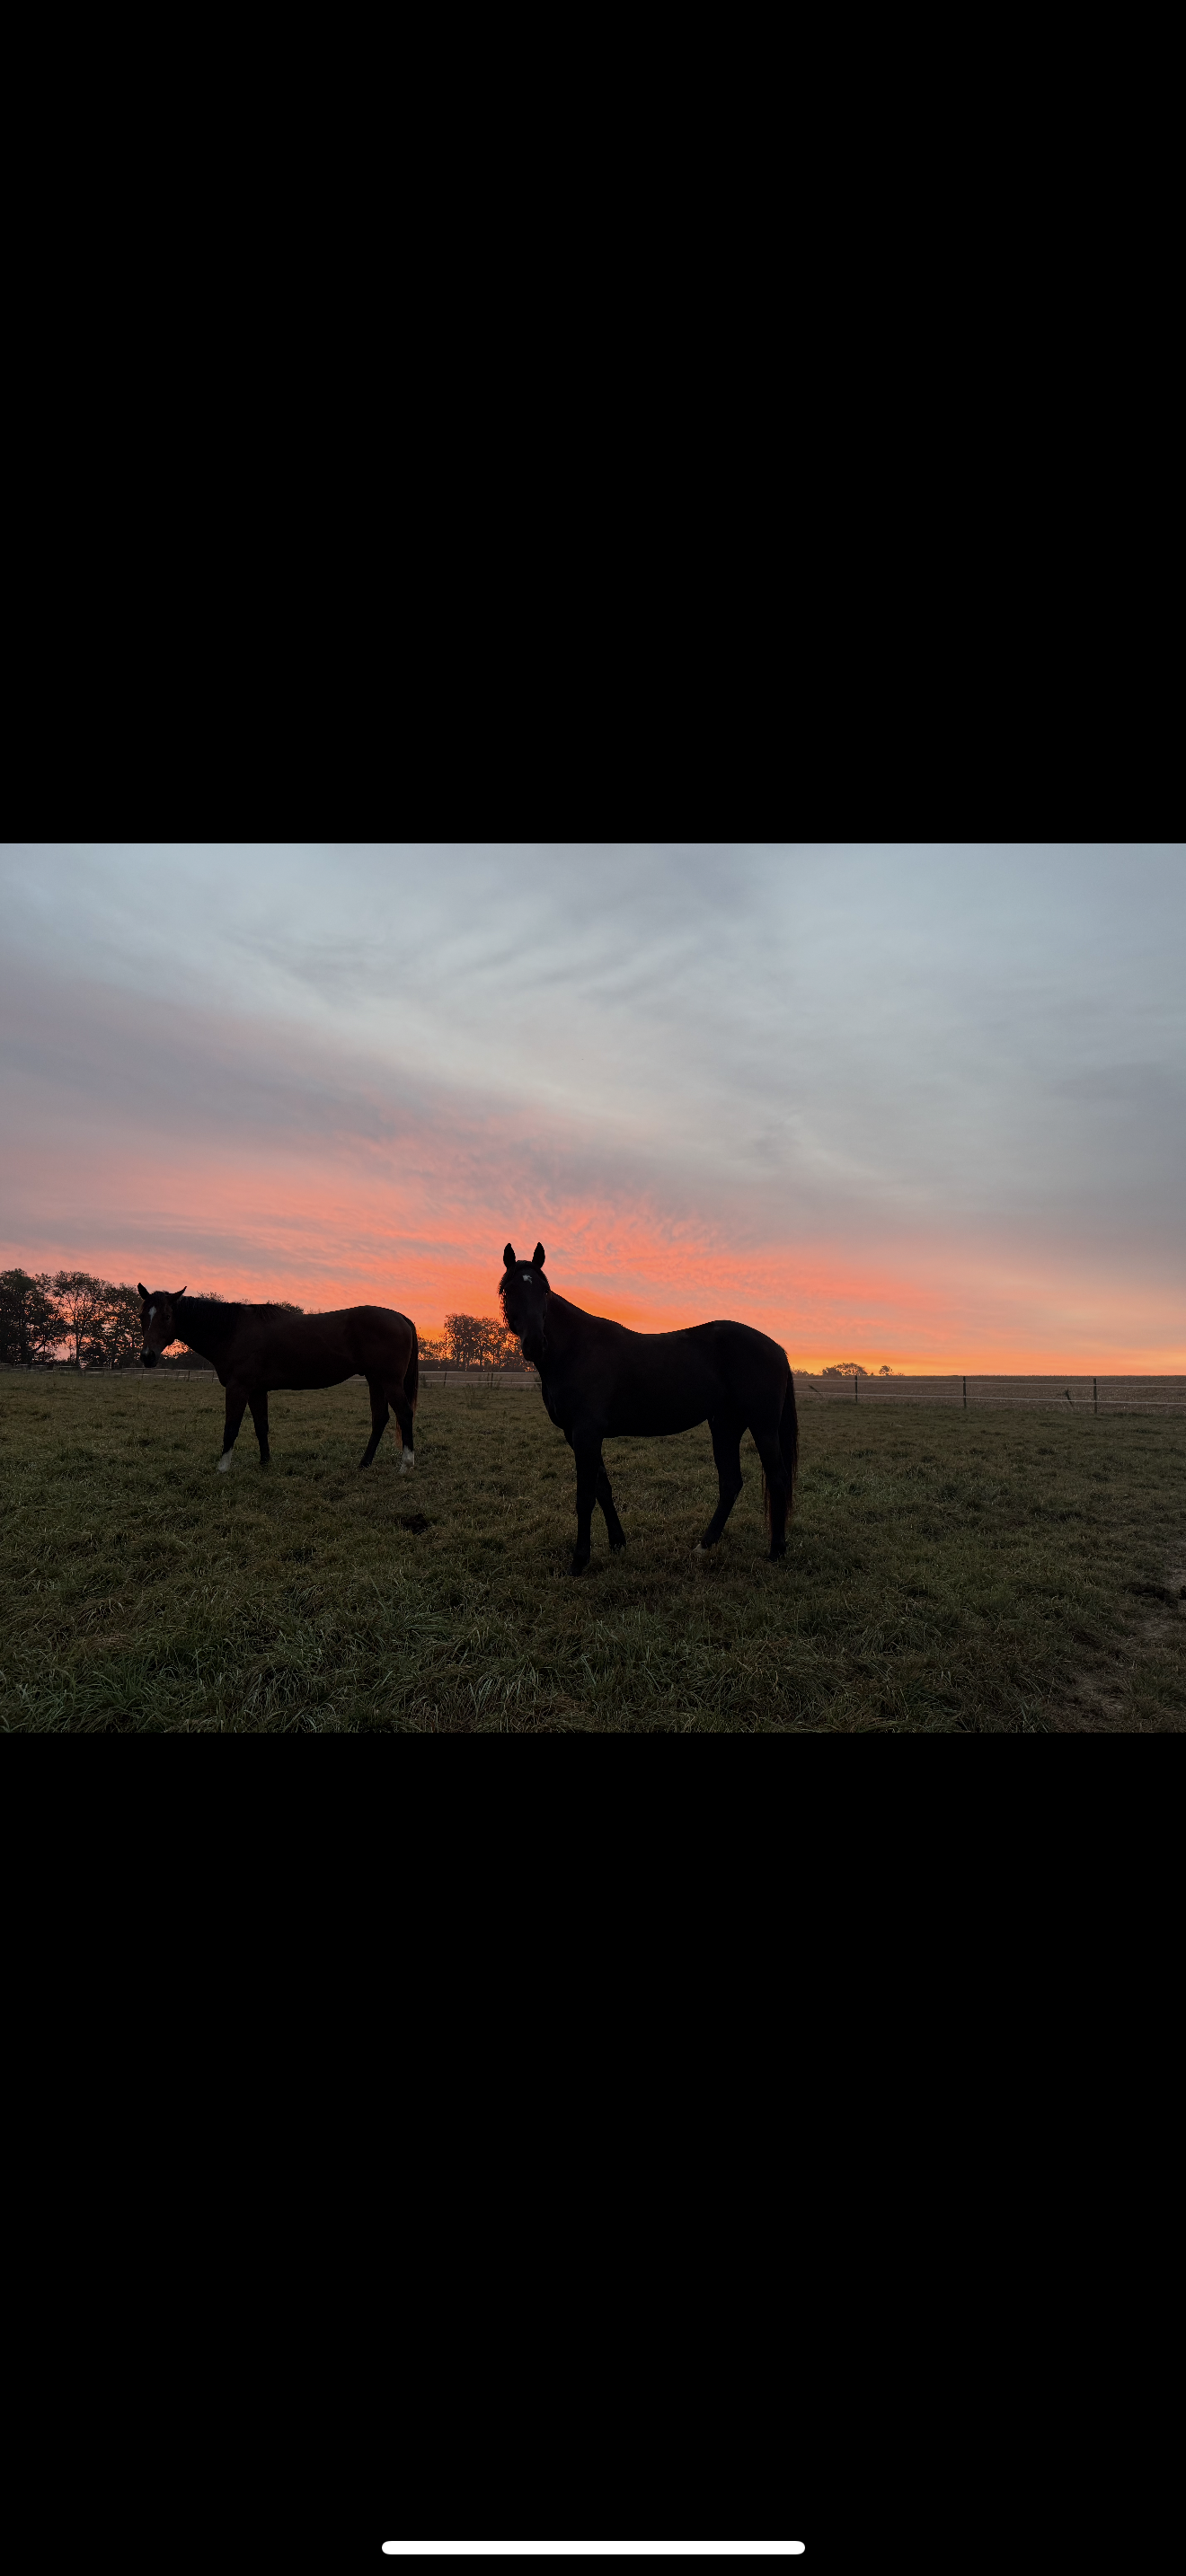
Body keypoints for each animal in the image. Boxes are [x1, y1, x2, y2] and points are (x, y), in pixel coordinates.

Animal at [137, 1287, 418, 1475]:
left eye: (166, 1316)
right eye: (141, 1316)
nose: (148, 1356)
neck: (233, 1330)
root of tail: (401, 1317)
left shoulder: (238, 1388)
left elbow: (231, 1428)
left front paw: (222, 1469)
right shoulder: (256, 1390)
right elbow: (261, 1426)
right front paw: (265, 1463)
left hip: (389, 1381)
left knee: (404, 1414)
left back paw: (406, 1466)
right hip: (375, 1381)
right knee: (380, 1418)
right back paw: (364, 1464)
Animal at [499, 1243, 798, 1575]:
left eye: (545, 1291)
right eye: (509, 1290)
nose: (535, 1344)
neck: (576, 1350)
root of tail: (777, 1348)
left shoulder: (586, 1433)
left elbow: (585, 1497)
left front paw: (579, 1561)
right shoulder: (578, 1436)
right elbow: (603, 1490)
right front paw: (617, 1543)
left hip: (763, 1427)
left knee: (777, 1478)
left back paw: (776, 1551)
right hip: (725, 1425)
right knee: (731, 1483)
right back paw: (704, 1545)